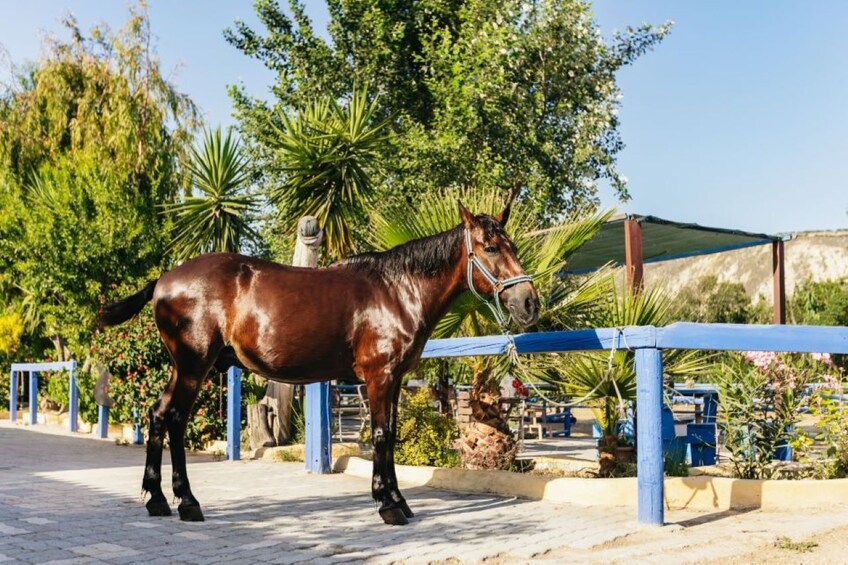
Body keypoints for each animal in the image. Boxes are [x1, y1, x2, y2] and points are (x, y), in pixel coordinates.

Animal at [97, 203, 536, 524]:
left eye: (512, 246)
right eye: (491, 248)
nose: (528, 302)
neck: (397, 290)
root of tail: (163, 280)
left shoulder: (392, 381)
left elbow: (390, 434)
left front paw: (394, 497)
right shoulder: (379, 377)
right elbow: (381, 436)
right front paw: (389, 505)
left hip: (183, 368)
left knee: (159, 415)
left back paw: (158, 499)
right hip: (193, 366)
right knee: (175, 419)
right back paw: (187, 501)